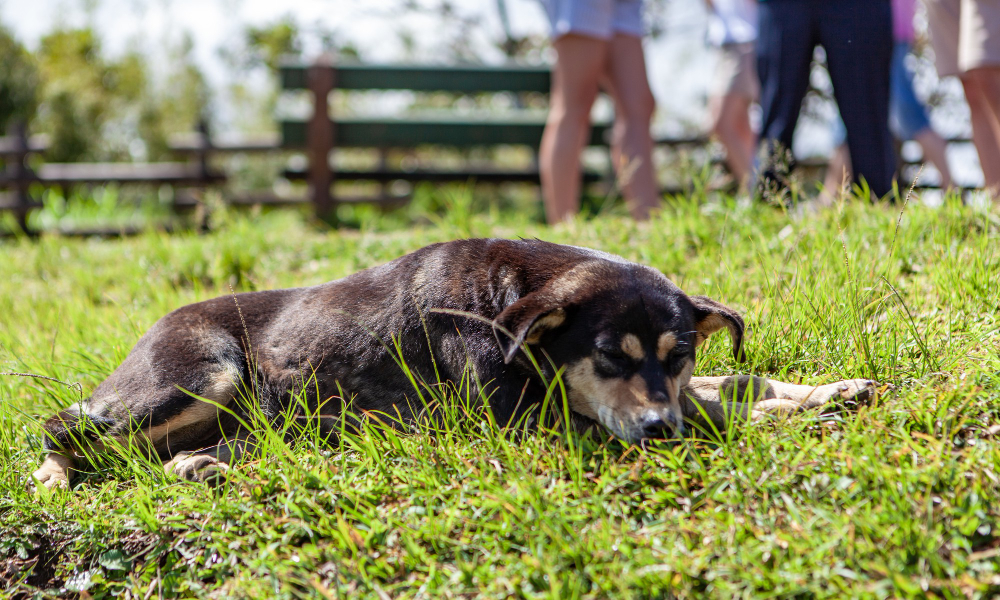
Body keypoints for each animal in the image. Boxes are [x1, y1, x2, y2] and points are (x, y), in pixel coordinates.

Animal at [31, 239, 876, 488]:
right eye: (607, 354)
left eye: (682, 352)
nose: (658, 431)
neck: (504, 300)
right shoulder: (537, 422)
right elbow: (719, 411)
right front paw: (781, 414)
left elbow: (734, 382)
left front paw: (828, 390)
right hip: (200, 374)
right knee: (63, 425)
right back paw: (56, 475)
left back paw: (205, 462)